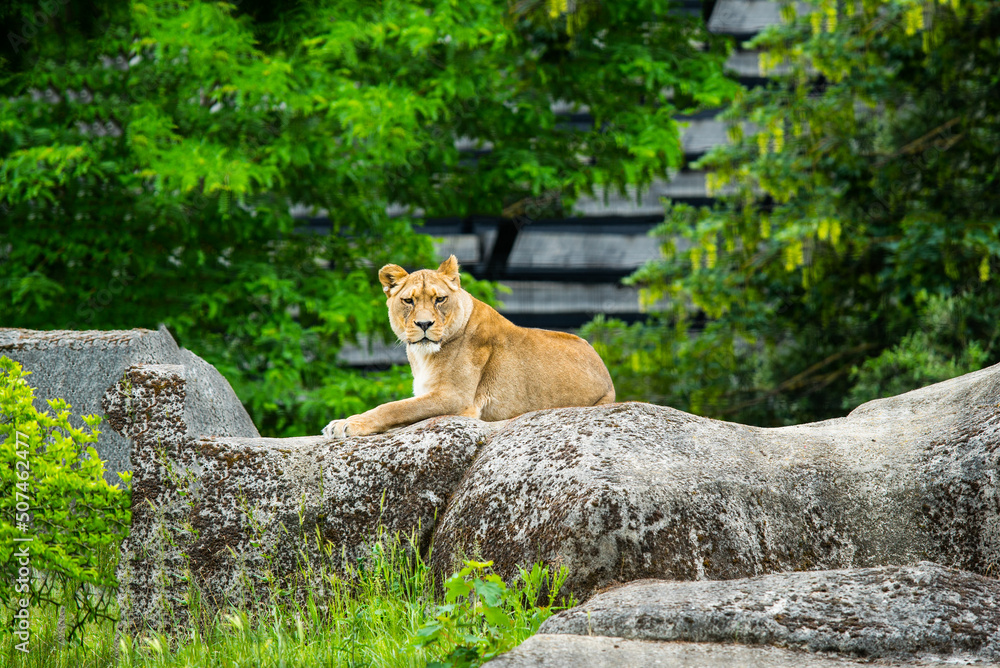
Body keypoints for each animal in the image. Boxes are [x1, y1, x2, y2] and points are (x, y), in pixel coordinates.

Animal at [322, 255, 615, 438]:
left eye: (439, 299)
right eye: (408, 301)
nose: (424, 324)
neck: (423, 356)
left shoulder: (456, 398)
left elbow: (394, 407)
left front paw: (346, 424)